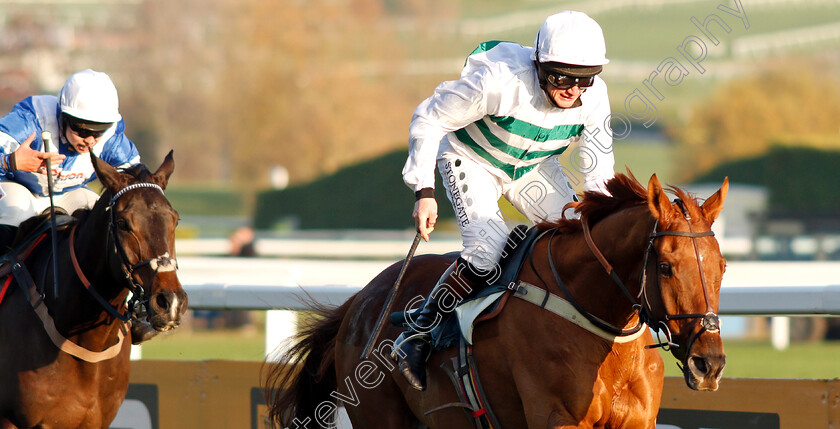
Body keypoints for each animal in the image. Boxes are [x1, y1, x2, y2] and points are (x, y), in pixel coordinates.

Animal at [266, 172, 724, 426]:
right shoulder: (556, 418)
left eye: (721, 266)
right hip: (380, 416)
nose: (709, 364)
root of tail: (362, 298)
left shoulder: (636, 421)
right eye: (665, 266)